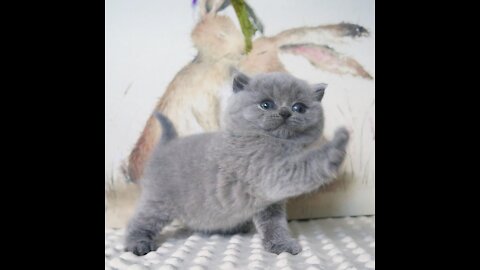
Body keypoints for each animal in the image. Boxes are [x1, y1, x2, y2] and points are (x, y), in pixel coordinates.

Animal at [124, 71, 348, 255]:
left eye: (299, 107)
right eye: (266, 104)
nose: (286, 112)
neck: (277, 146)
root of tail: (167, 143)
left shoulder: (270, 201)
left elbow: (274, 225)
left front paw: (281, 244)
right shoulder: (270, 174)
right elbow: (309, 165)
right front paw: (339, 143)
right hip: (158, 199)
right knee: (141, 220)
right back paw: (137, 243)